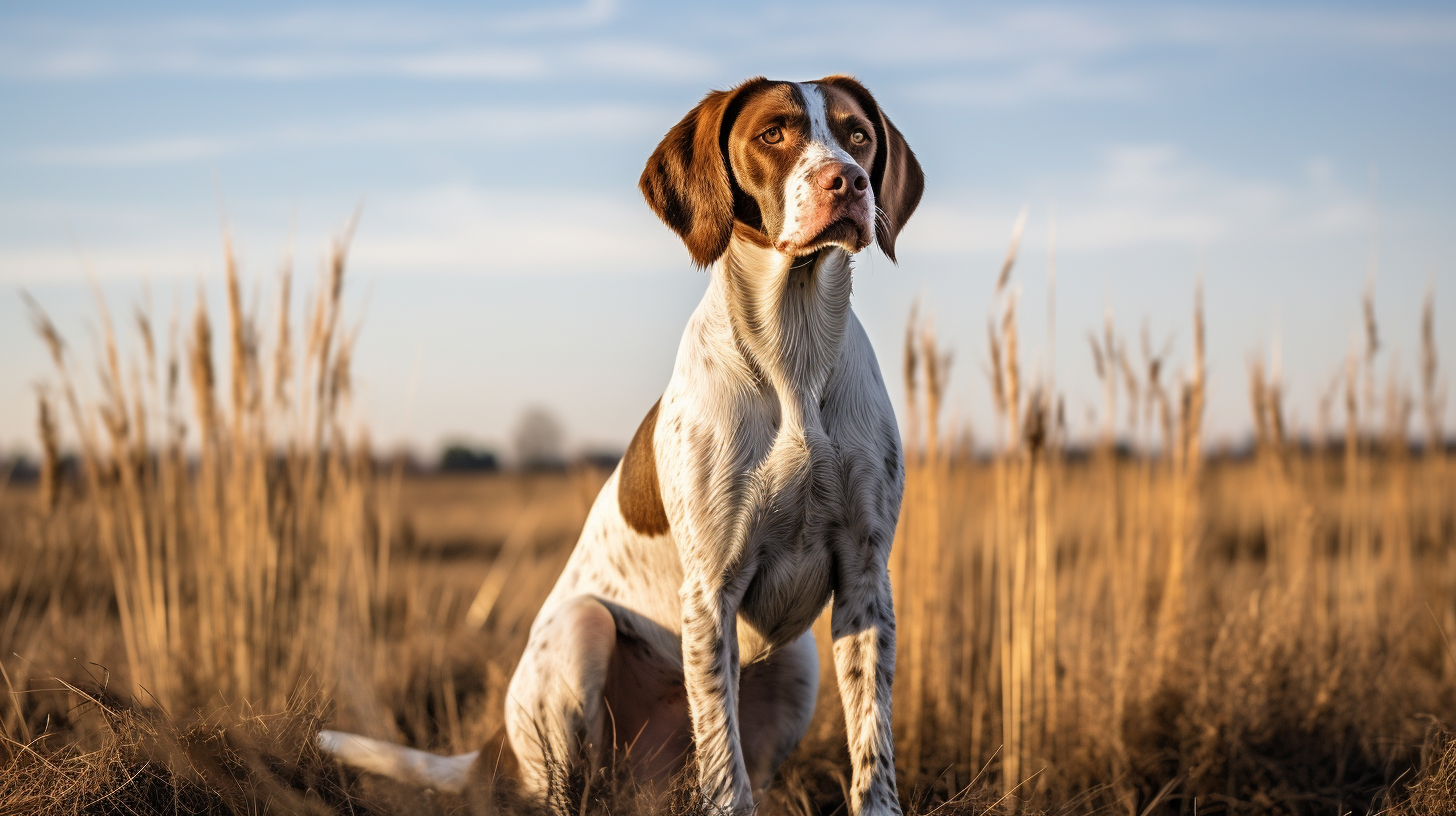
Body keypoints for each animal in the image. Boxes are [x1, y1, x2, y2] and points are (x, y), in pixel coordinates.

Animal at [326, 76, 926, 816]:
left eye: (857, 135)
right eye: (773, 134)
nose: (846, 182)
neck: (796, 350)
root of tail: (492, 750)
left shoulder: (866, 577)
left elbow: (871, 746)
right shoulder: (711, 590)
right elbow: (725, 768)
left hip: (797, 665)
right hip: (581, 633)